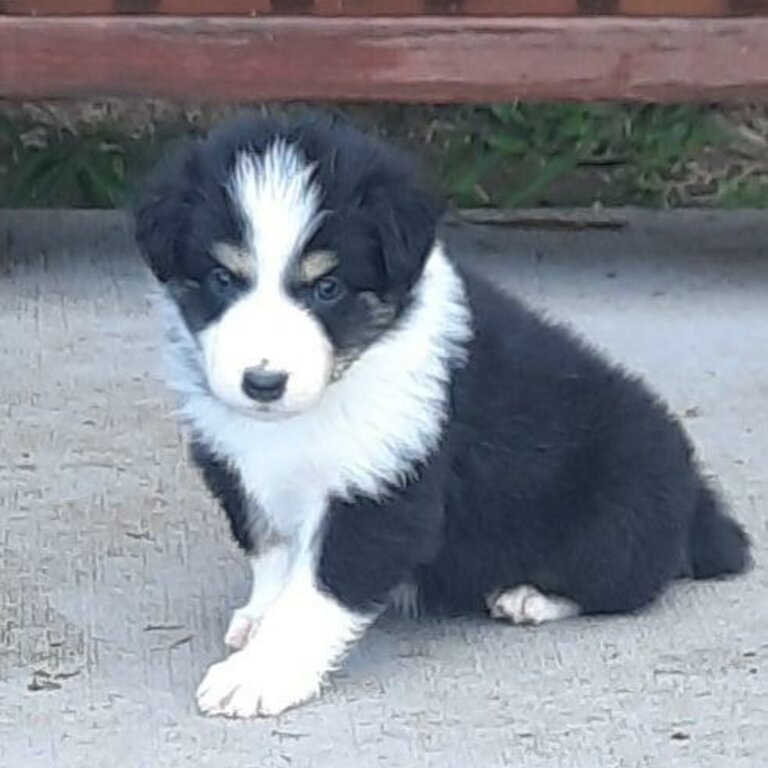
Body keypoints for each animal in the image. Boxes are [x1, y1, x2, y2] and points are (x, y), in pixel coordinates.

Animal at [134, 112, 752, 720]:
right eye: (223, 279)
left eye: (327, 287)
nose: (262, 383)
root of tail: (699, 502)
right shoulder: (238, 467)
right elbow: (273, 552)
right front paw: (260, 618)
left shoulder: (383, 489)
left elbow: (316, 592)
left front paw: (260, 675)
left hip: (616, 513)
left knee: (631, 581)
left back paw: (530, 596)